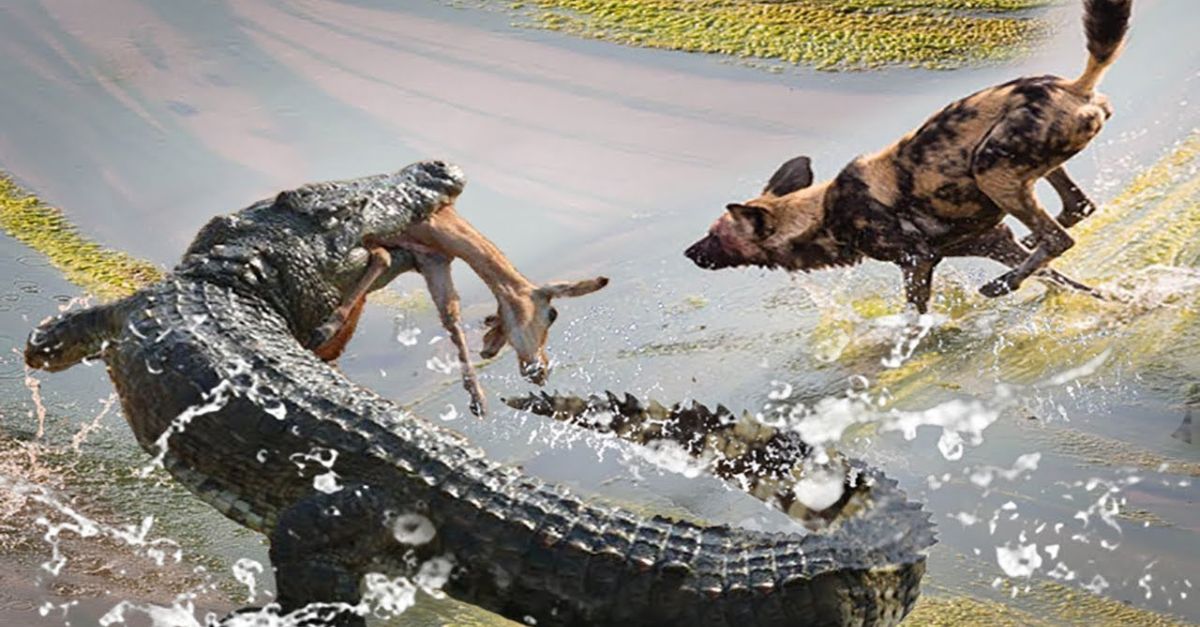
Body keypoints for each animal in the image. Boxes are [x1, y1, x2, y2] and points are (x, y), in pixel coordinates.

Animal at [686, 0, 1132, 312]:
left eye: (715, 235)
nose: (689, 252)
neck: (822, 212)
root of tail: (1074, 87)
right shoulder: (988, 240)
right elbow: (1060, 279)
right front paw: (1112, 300)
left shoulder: (916, 261)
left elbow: (912, 319)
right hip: (1019, 172)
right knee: (1076, 210)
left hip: (990, 169)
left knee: (1059, 236)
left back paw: (1000, 285)